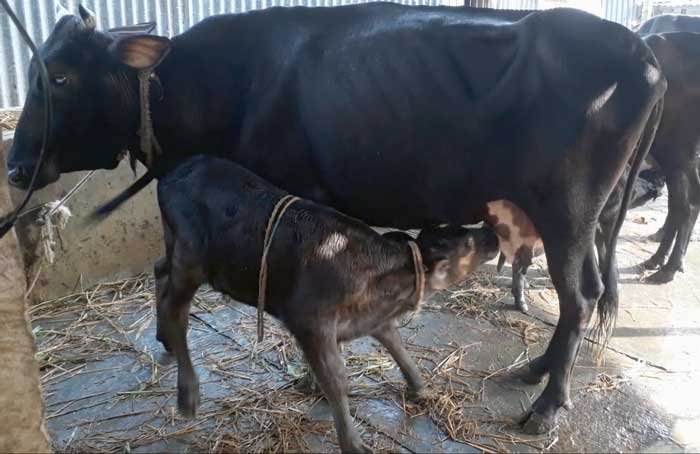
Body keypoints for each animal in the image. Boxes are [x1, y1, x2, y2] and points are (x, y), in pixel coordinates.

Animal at [152, 154, 499, 453]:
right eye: (468, 243)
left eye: (462, 230)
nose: (494, 234)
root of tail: (179, 170)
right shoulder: (310, 323)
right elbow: (335, 380)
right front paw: (352, 443)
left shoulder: (374, 319)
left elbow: (398, 347)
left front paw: (422, 388)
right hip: (191, 259)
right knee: (176, 308)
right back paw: (187, 391)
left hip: (175, 248)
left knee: (160, 271)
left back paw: (164, 339)